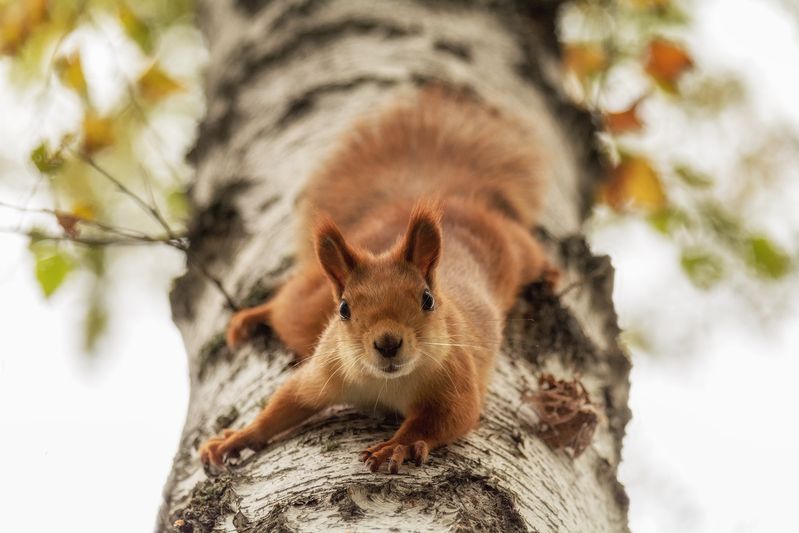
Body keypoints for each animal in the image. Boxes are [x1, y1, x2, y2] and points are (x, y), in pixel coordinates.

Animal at [200, 86, 558, 474]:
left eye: (427, 300)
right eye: (344, 308)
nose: (388, 344)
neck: (386, 384)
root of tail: (450, 196)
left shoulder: (456, 377)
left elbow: (445, 418)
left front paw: (394, 446)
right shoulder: (326, 369)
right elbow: (286, 402)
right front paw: (235, 439)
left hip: (516, 249)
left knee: (531, 252)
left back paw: (550, 272)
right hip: (308, 313)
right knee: (286, 309)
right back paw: (252, 317)